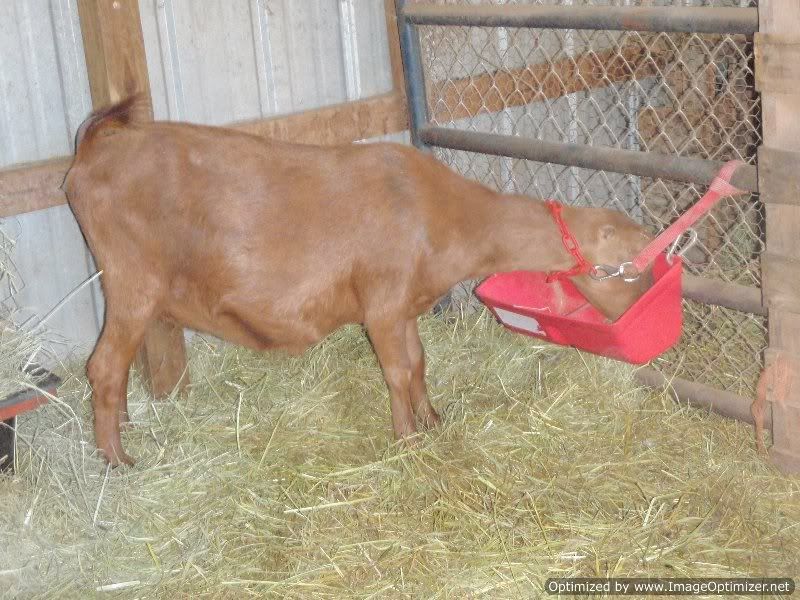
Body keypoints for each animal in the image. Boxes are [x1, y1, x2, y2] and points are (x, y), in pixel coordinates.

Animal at [65, 97, 654, 465]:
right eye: (633, 263)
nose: (642, 310)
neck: (446, 215)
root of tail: (96, 151)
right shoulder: (384, 304)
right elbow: (396, 371)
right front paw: (407, 441)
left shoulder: (404, 305)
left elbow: (418, 363)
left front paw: (433, 420)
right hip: (132, 282)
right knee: (104, 366)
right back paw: (116, 458)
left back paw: (125, 431)